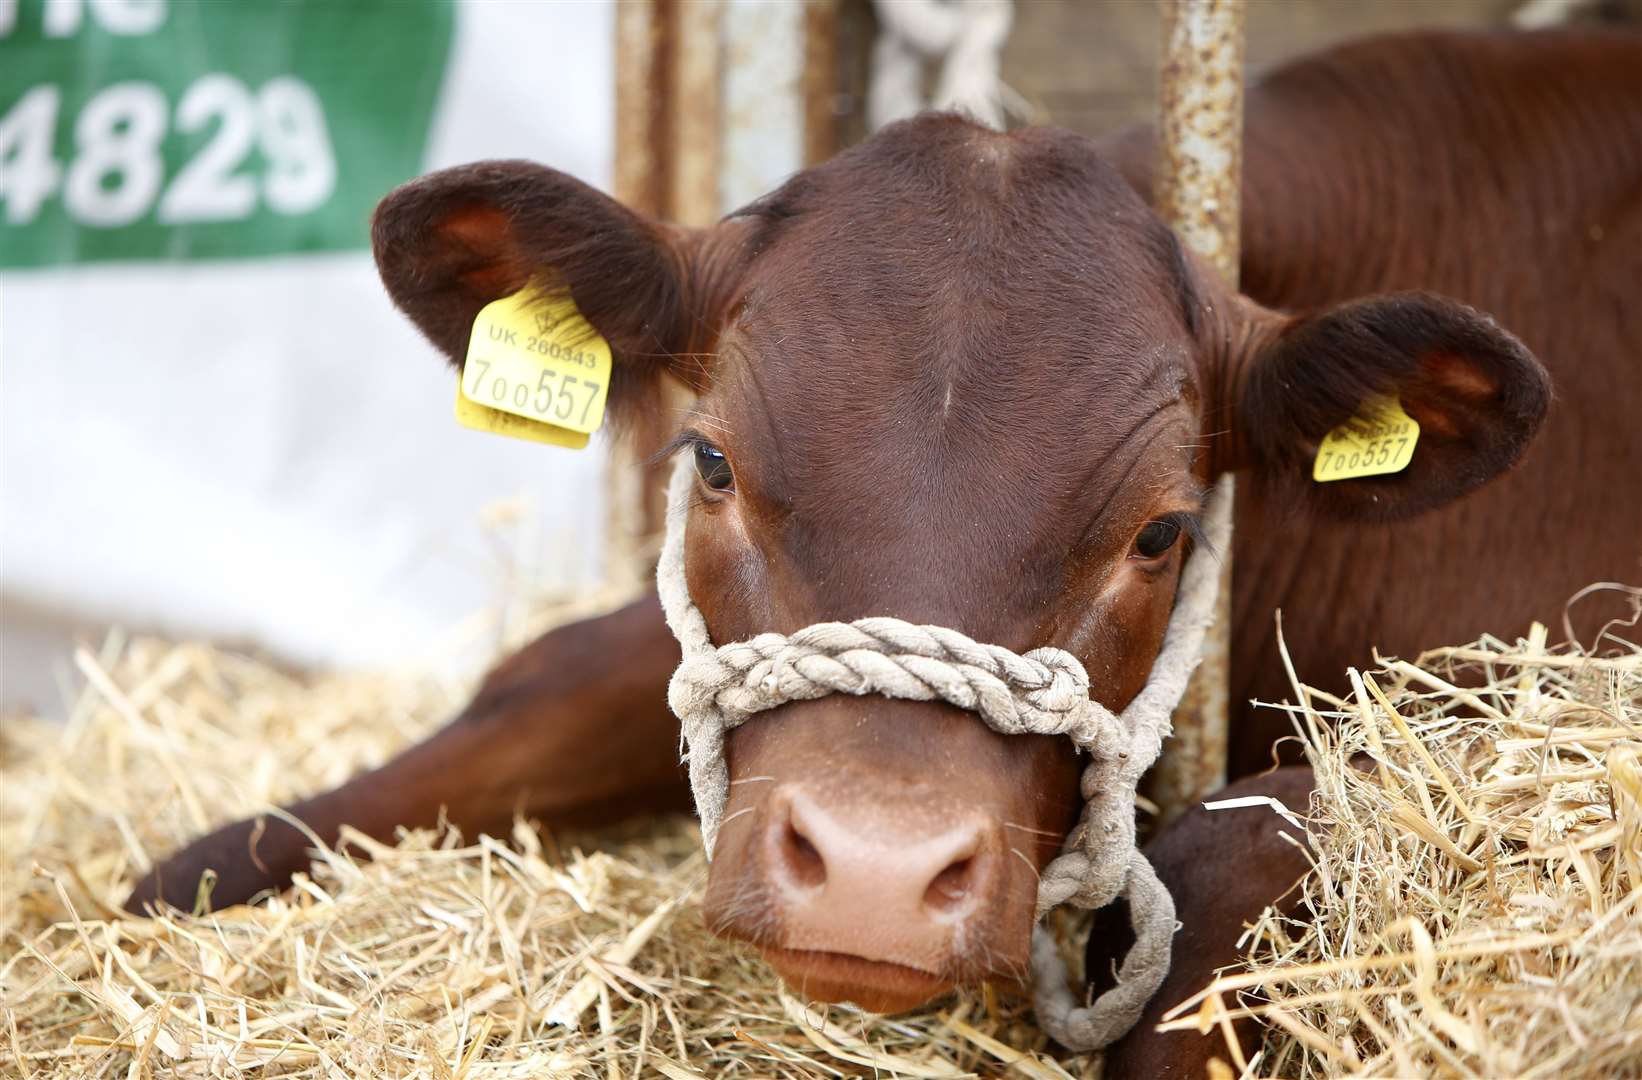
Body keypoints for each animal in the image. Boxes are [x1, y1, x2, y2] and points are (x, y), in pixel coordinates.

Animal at [131, 29, 1642, 1063]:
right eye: (712, 462)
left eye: (1161, 530)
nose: (873, 873)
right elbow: (537, 683)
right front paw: (173, 891)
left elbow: (1236, 832)